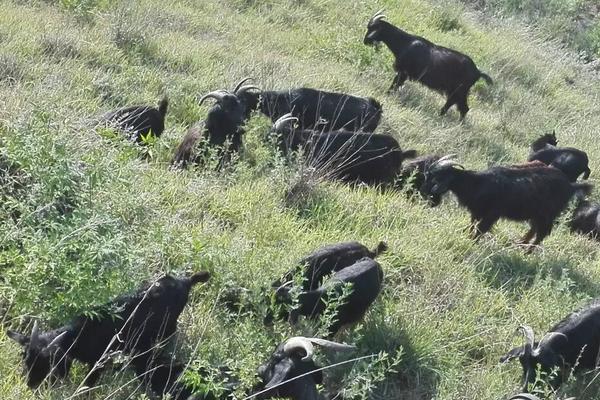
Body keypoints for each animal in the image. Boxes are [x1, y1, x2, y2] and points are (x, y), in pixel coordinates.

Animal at [5, 272, 209, 388]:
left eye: (47, 362)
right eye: (25, 359)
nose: (30, 385)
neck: (80, 334)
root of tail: (186, 281)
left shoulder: (99, 363)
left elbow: (87, 387)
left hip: (169, 324)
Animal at [360, 9, 492, 119]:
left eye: (372, 28)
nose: (365, 41)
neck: (405, 42)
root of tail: (478, 72)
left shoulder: (403, 72)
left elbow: (395, 85)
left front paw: (387, 95)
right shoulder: (403, 73)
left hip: (458, 91)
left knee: (459, 107)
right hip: (459, 92)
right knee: (462, 108)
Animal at [420, 156, 592, 250]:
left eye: (436, 177)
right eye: (427, 175)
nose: (423, 193)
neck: (478, 183)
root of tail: (570, 186)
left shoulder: (491, 215)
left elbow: (480, 230)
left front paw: (472, 243)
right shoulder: (477, 212)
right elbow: (472, 227)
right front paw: (467, 238)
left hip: (547, 215)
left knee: (541, 234)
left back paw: (527, 252)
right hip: (537, 215)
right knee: (534, 229)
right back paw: (520, 243)